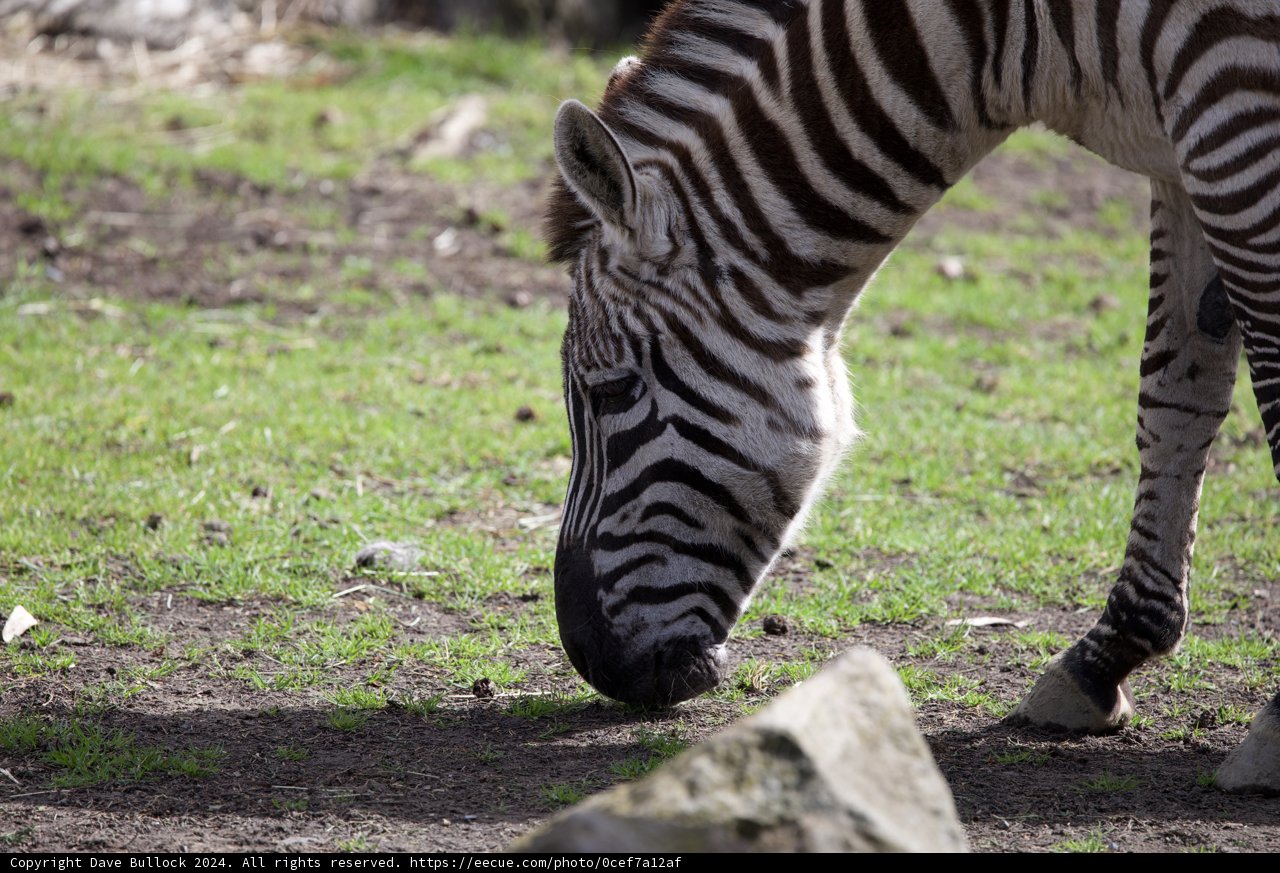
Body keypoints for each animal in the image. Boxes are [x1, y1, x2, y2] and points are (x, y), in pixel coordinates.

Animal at [544, 0, 1280, 793]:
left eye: (613, 390)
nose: (589, 658)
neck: (1014, 33)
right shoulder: (1179, 153)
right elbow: (1174, 396)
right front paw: (1103, 658)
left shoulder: (1235, 107)